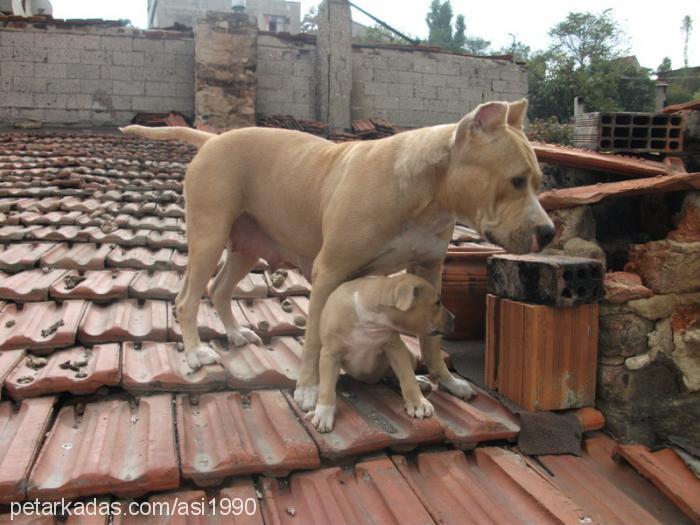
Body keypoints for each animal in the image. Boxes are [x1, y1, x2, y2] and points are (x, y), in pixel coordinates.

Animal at [121, 97, 556, 410]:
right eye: (516, 181)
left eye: (538, 181)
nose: (549, 232)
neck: (427, 194)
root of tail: (213, 139)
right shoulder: (329, 271)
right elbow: (314, 336)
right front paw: (309, 390)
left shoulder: (430, 269)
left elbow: (430, 338)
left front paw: (444, 380)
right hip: (209, 235)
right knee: (187, 298)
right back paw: (196, 352)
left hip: (247, 246)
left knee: (220, 289)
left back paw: (235, 333)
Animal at [306, 272, 454, 432]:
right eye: (438, 302)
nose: (454, 318)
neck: (371, 321)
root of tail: (372, 380)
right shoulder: (330, 354)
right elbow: (327, 387)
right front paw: (323, 413)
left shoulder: (396, 349)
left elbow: (407, 377)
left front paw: (418, 402)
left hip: (410, 354)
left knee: (396, 376)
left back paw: (419, 381)